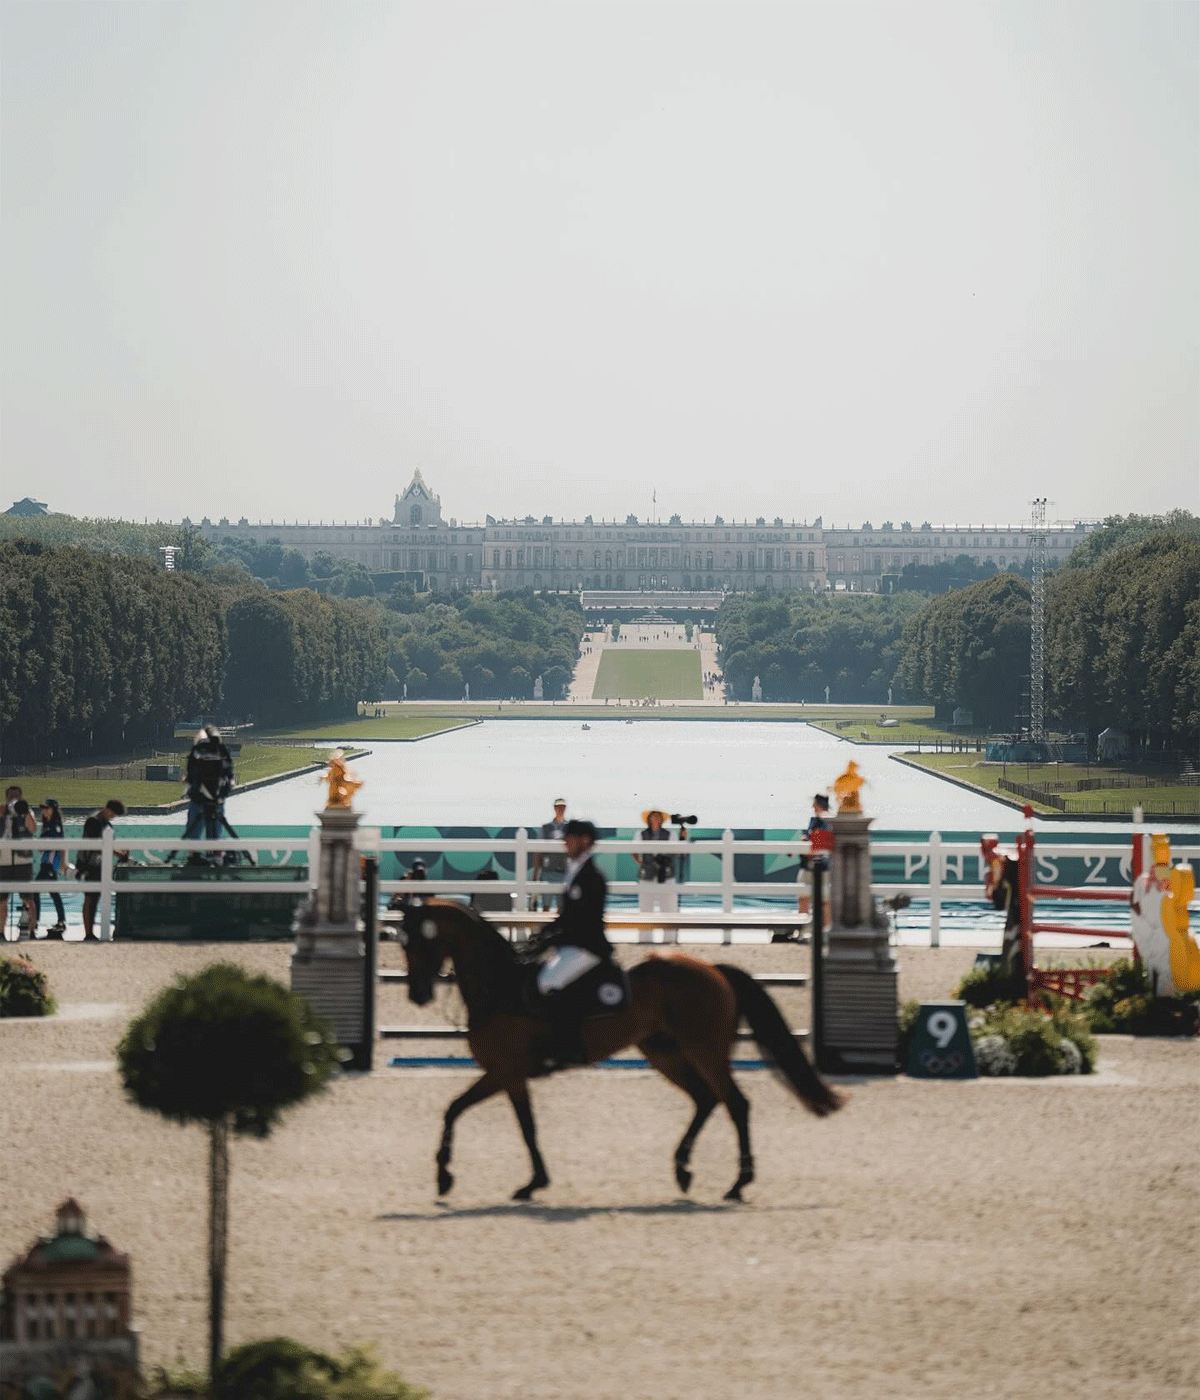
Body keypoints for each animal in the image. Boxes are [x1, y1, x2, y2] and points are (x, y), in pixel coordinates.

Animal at [394, 901, 840, 1198]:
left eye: (416, 942)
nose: (416, 995)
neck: (500, 985)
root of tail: (713, 970)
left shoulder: (505, 1072)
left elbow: (466, 1112)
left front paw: (448, 1176)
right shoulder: (510, 1077)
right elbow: (514, 1124)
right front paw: (531, 1181)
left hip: (704, 1051)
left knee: (735, 1103)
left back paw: (738, 1182)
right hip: (664, 1053)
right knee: (705, 1099)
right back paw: (683, 1170)